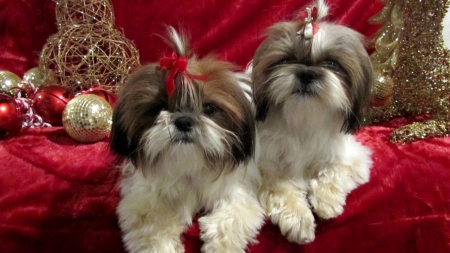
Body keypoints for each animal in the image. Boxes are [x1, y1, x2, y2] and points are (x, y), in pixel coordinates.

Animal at [251, 0, 374, 245]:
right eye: (287, 59)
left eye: (332, 64)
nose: (307, 73)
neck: (303, 119)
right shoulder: (268, 168)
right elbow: (282, 189)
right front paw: (300, 219)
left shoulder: (354, 158)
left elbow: (335, 170)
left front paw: (326, 201)